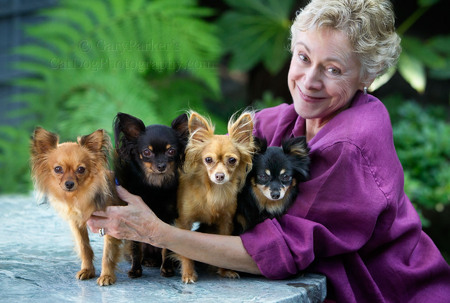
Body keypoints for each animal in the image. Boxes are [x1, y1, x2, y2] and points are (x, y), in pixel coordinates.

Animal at [30, 127, 125, 288]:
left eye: (81, 169)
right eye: (58, 169)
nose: (69, 184)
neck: (79, 196)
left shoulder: (112, 224)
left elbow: (108, 253)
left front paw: (106, 275)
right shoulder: (76, 223)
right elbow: (84, 247)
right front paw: (87, 270)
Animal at [114, 113, 190, 280]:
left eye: (171, 151)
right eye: (147, 152)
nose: (161, 166)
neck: (155, 185)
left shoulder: (170, 219)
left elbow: (167, 249)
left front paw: (167, 268)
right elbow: (136, 248)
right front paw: (135, 270)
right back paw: (147, 261)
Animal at [175, 112, 255, 284]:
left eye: (232, 160)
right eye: (208, 160)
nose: (219, 175)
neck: (214, 192)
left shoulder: (226, 222)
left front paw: (225, 271)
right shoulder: (184, 222)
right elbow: (185, 250)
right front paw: (188, 274)